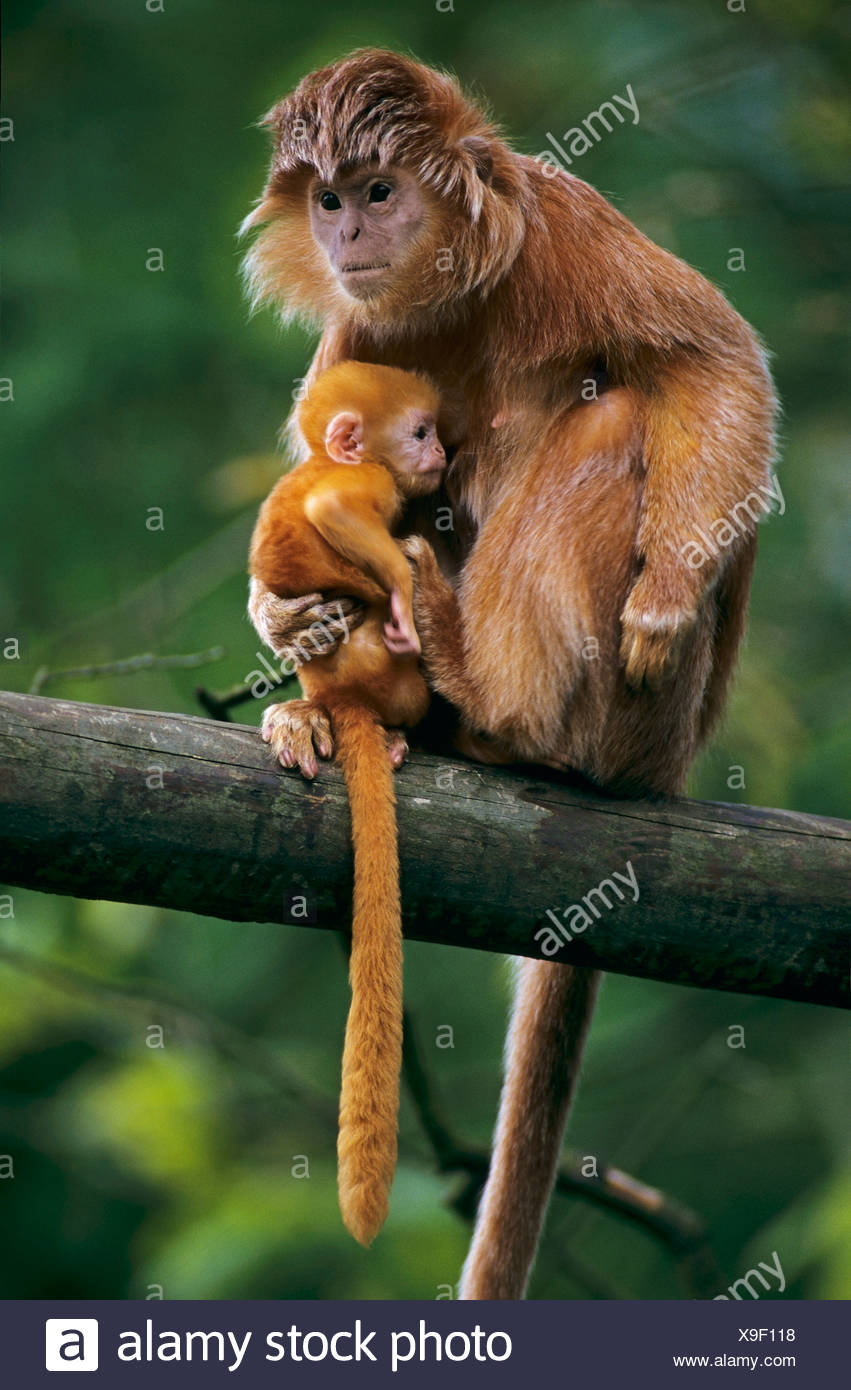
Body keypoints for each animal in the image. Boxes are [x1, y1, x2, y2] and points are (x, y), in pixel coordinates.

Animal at [240, 48, 778, 1295]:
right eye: (327, 200)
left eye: (378, 190)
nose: (346, 231)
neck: (454, 293)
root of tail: (672, 764)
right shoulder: (360, 331)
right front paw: (285, 622)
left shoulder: (561, 229)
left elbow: (712, 365)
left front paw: (665, 596)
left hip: (637, 725)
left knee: (618, 408)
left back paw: (493, 706)